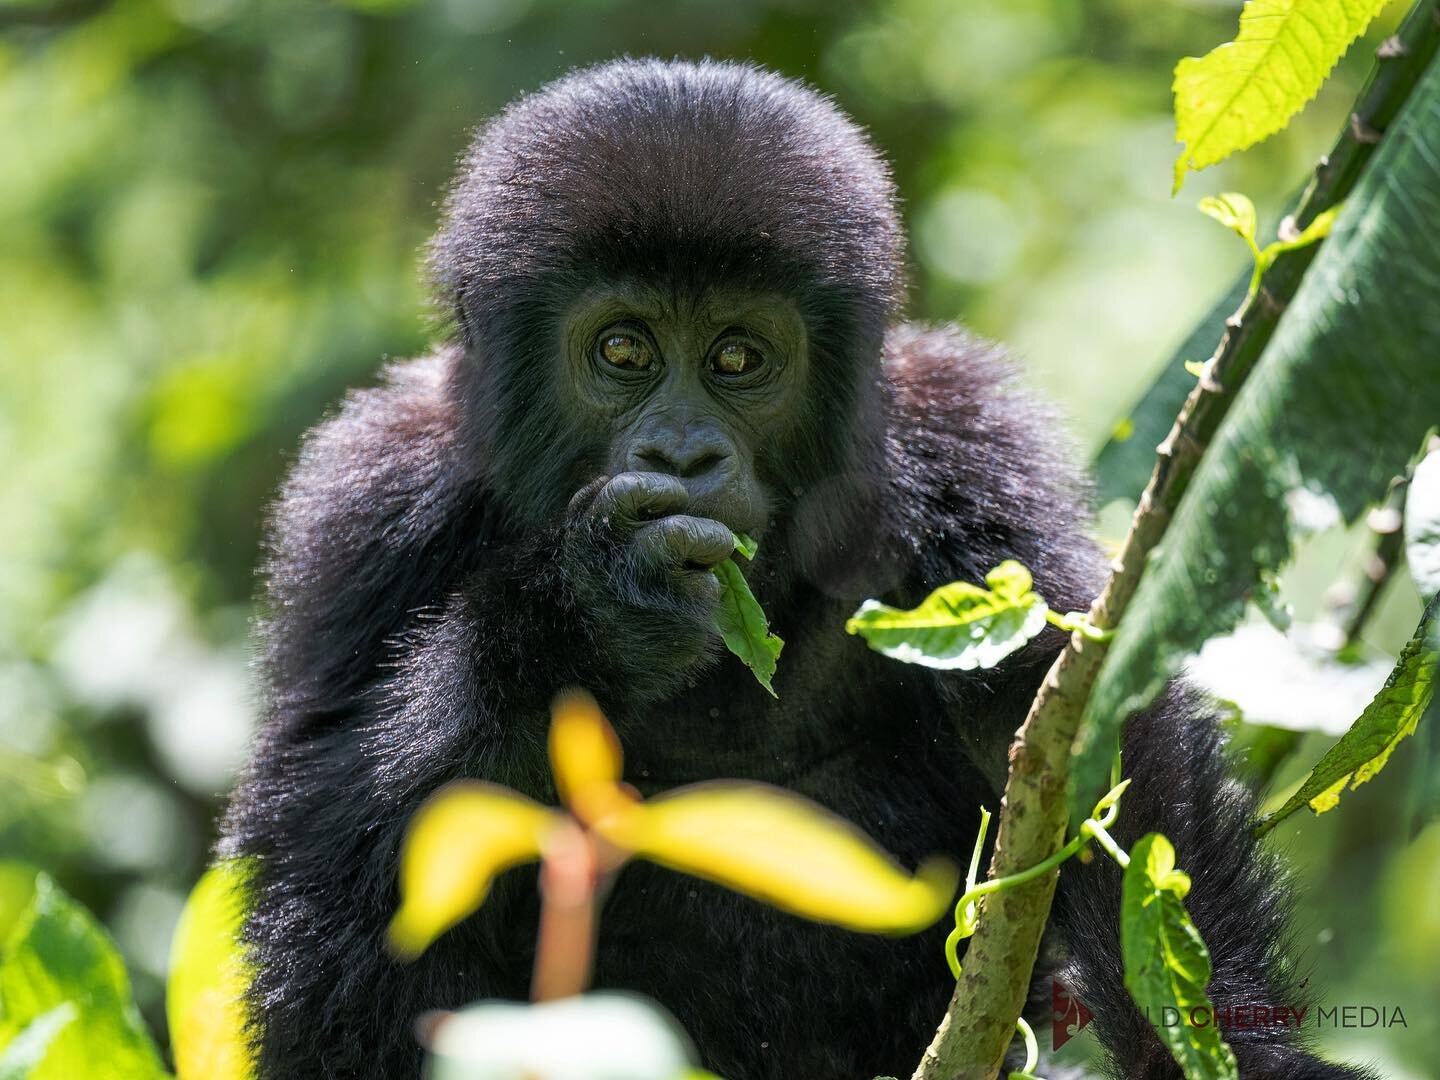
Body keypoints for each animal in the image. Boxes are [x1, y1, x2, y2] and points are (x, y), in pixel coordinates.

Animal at [218, 57, 1365, 1080]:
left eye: (737, 358)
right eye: (624, 351)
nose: (684, 454)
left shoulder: (965, 443)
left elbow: (1080, 732)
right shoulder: (368, 497)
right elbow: (317, 857)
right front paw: (583, 615)